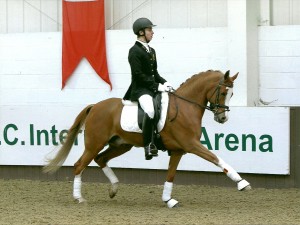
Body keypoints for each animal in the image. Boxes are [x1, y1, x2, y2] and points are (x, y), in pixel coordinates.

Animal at [44, 70, 251, 207]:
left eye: (232, 94)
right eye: (223, 93)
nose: (222, 118)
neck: (185, 107)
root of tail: (95, 106)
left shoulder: (178, 150)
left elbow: (171, 175)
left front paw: (168, 199)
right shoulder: (191, 144)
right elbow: (216, 159)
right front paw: (242, 183)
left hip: (121, 145)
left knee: (100, 159)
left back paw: (114, 189)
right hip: (94, 143)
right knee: (80, 165)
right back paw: (79, 198)